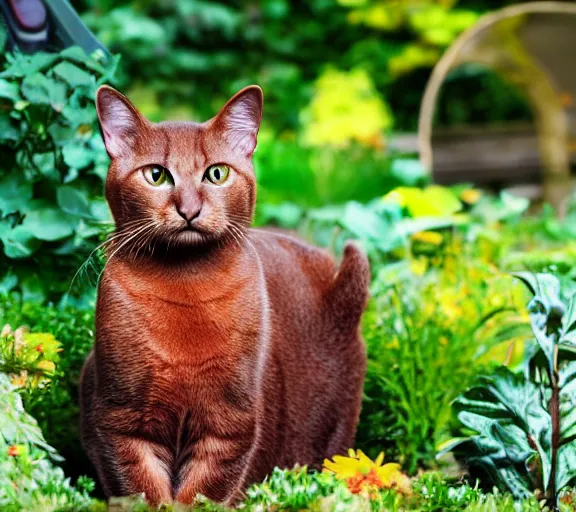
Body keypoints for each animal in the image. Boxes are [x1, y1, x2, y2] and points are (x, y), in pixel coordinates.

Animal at [79, 84, 368, 504]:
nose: (189, 209)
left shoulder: (229, 428)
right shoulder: (123, 424)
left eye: (217, 174)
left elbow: (200, 496)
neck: (185, 288)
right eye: (156, 175)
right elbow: (146, 493)